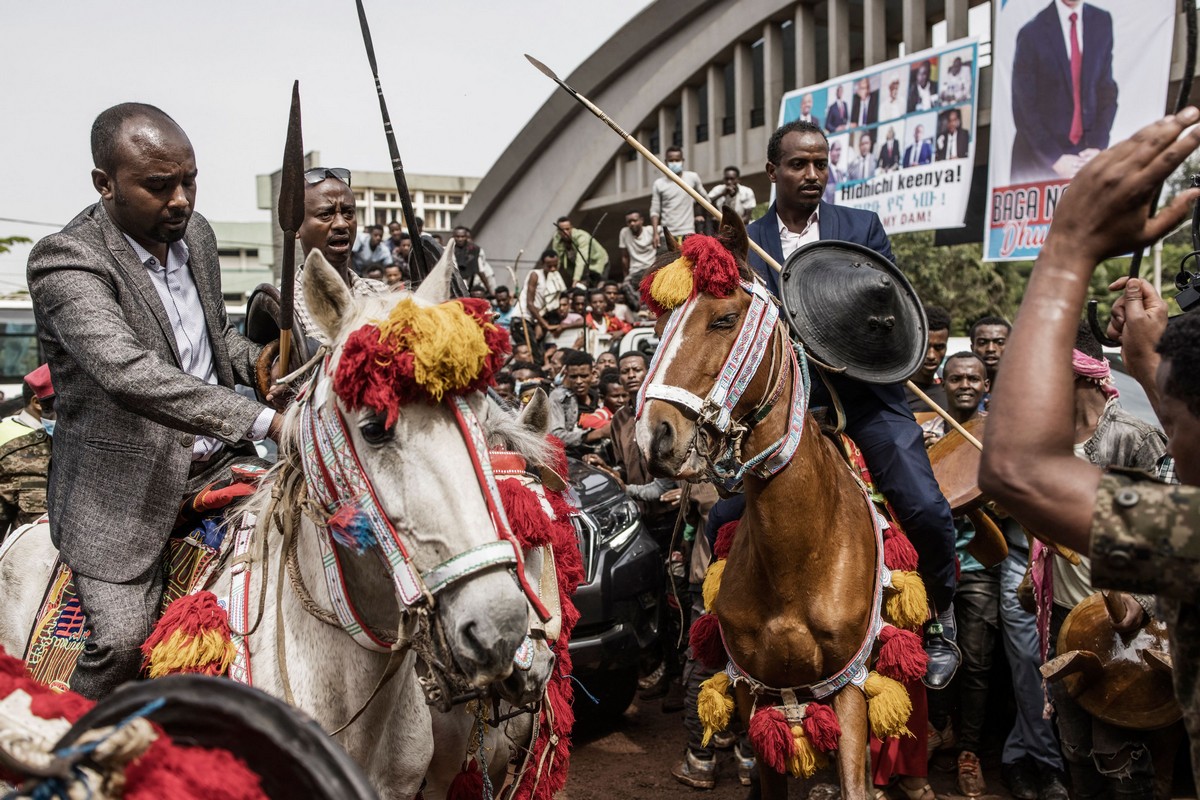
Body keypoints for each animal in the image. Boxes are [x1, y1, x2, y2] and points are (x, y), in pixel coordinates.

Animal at [638, 211, 883, 800]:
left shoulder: (850, 687)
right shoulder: (759, 692)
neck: (801, 555)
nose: (653, 438)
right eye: (657, 330)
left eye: (725, 319)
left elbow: (854, 780)